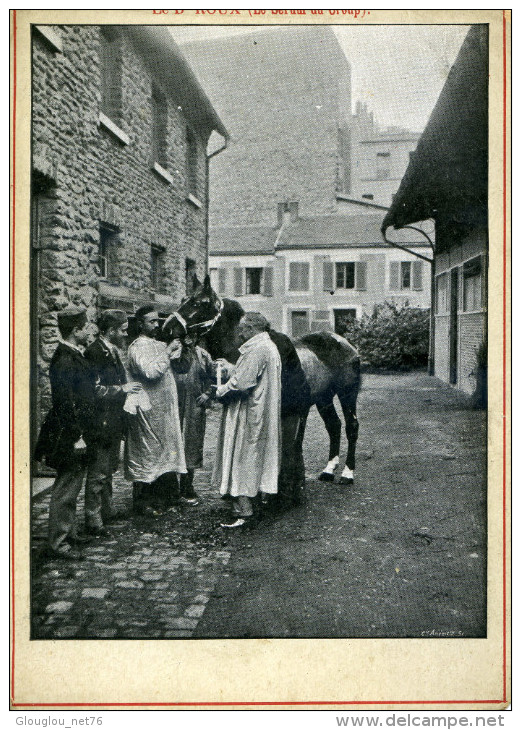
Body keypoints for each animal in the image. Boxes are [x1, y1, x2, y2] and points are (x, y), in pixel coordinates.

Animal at [162, 272, 362, 484]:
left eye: (200, 303)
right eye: (183, 299)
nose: (167, 328)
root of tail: (345, 342)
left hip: (347, 394)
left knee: (351, 427)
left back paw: (347, 473)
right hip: (324, 398)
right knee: (334, 425)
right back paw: (328, 470)